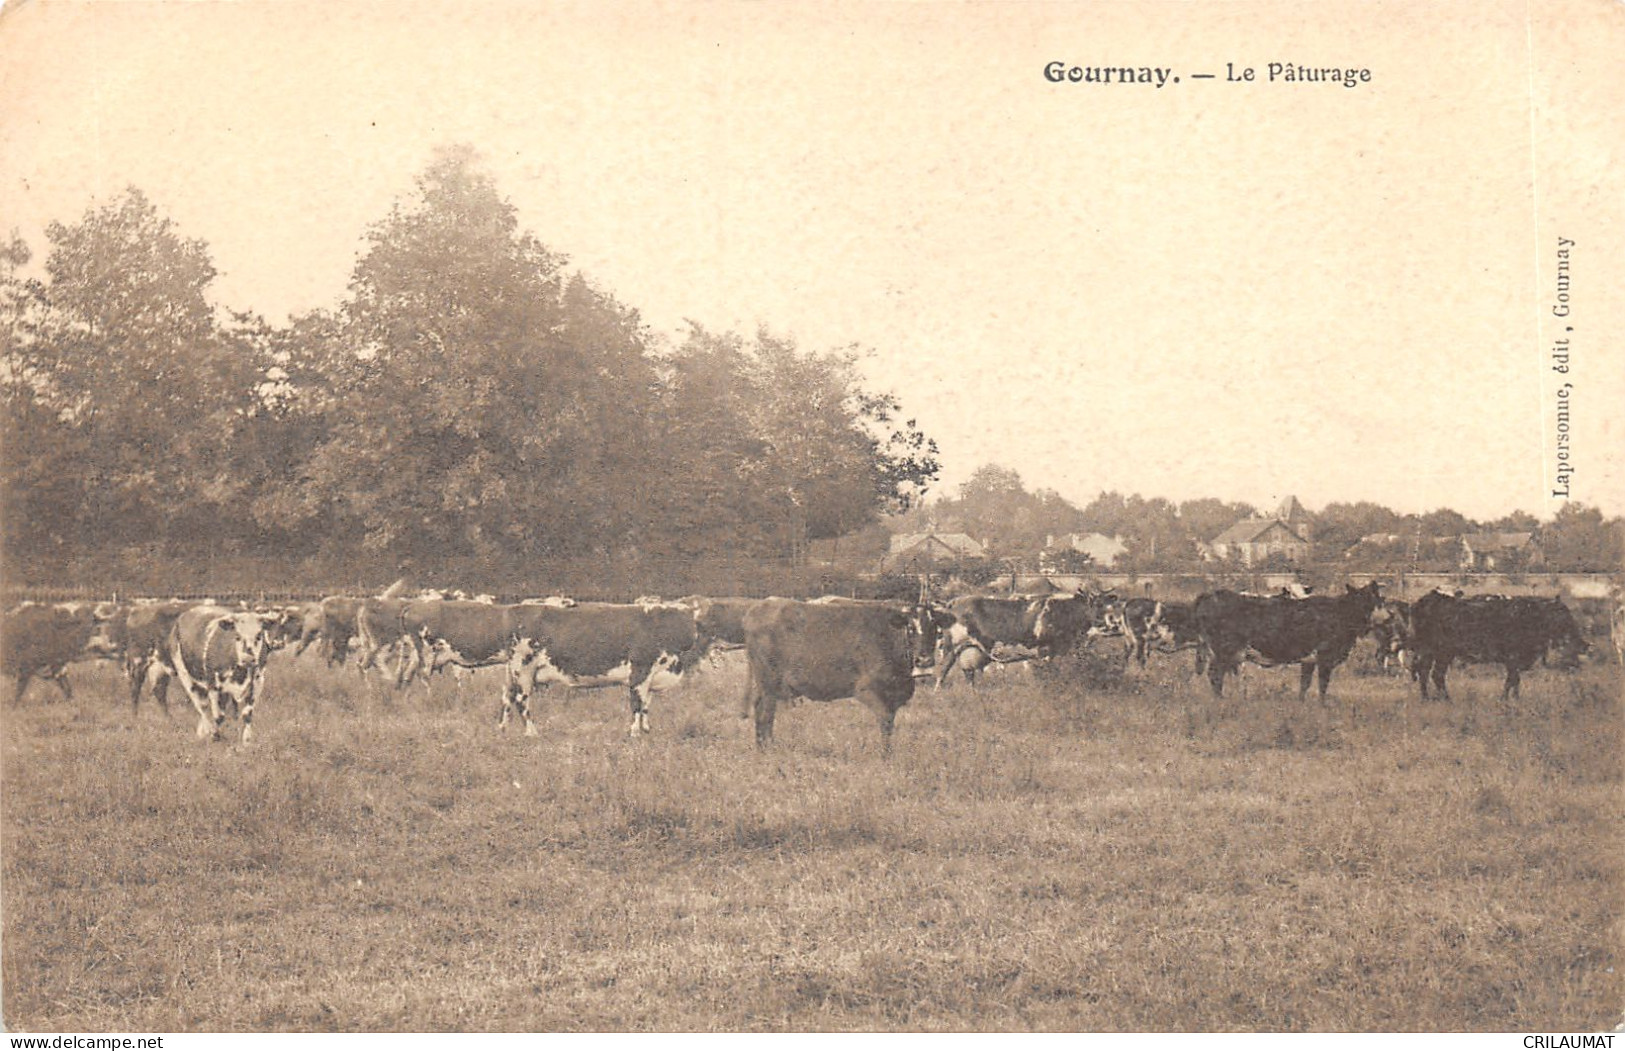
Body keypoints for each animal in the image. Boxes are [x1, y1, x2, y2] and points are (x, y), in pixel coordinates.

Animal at [1196, 584, 1384, 698]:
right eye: (1357, 600)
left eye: (1373, 601)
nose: (1366, 622)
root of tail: (1213, 594)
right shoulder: (1325, 657)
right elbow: (1323, 686)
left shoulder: (1309, 660)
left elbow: (1305, 685)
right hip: (1224, 652)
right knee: (1215, 675)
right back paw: (1221, 701)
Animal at [1410, 591, 1586, 698]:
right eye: (1561, 613)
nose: (1583, 643)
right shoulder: (1513, 658)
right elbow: (1512, 680)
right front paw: (1506, 700)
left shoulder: (1514, 661)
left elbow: (1513, 681)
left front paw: (1513, 699)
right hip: (1439, 652)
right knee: (1432, 674)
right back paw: (1442, 699)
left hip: (1436, 653)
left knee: (1429, 674)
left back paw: (1431, 699)